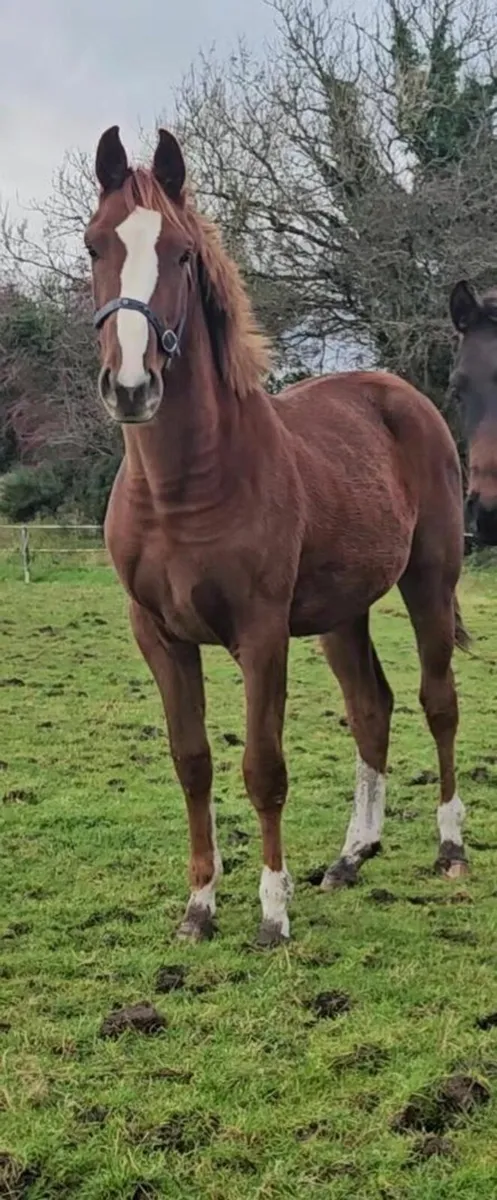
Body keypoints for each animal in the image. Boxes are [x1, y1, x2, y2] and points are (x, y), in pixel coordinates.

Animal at [85, 124, 468, 946]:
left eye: (182, 253)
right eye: (96, 244)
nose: (131, 386)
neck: (183, 490)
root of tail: (400, 394)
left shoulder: (260, 634)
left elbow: (263, 767)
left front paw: (270, 911)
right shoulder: (158, 636)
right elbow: (192, 761)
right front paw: (199, 906)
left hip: (428, 582)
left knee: (436, 700)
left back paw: (450, 847)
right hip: (340, 615)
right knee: (372, 707)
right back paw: (351, 856)